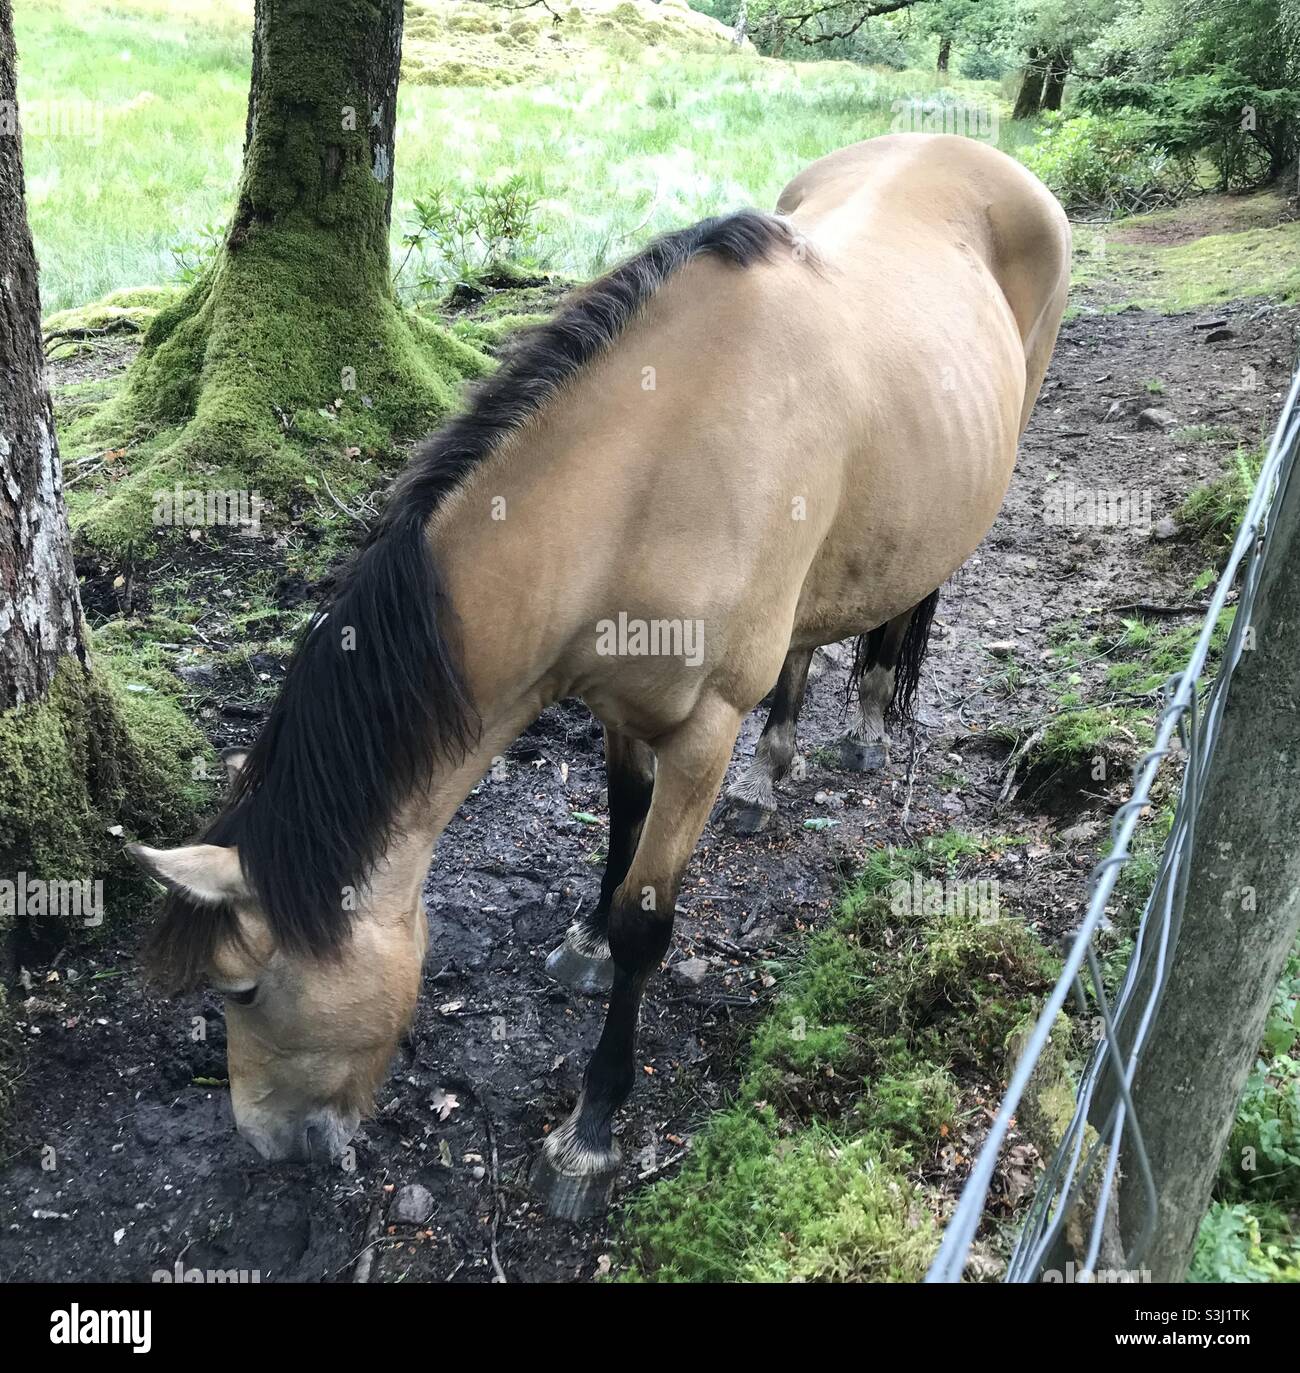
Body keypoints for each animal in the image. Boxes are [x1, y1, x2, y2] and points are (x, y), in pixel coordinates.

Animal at [129, 133, 1065, 1219]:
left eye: (241, 986)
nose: (268, 1140)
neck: (649, 478)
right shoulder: (618, 703)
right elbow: (617, 824)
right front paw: (580, 937)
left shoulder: (700, 729)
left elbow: (644, 924)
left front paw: (590, 1129)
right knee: (809, 633)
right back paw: (771, 770)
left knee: (902, 609)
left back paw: (866, 729)